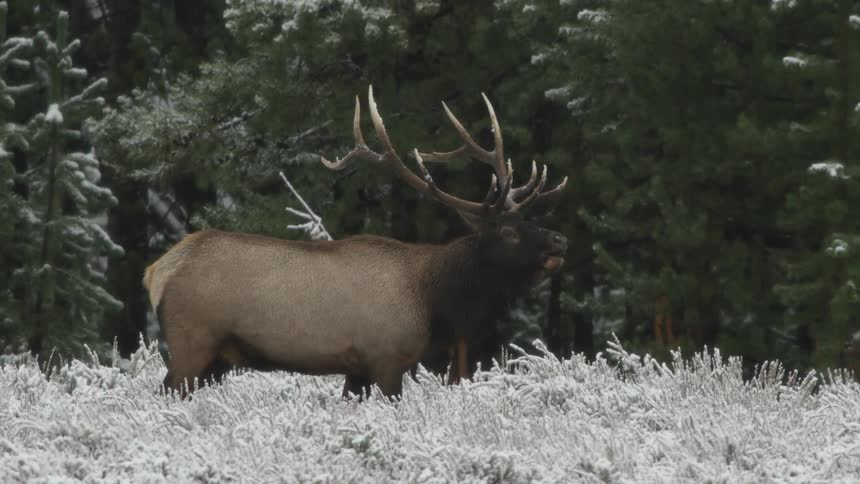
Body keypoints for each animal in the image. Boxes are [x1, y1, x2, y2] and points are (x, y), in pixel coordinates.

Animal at [143, 86, 568, 399]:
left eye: (528, 219)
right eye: (509, 231)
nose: (560, 239)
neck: (432, 300)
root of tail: (157, 271)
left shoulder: (357, 369)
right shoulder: (386, 358)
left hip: (217, 358)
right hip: (192, 342)